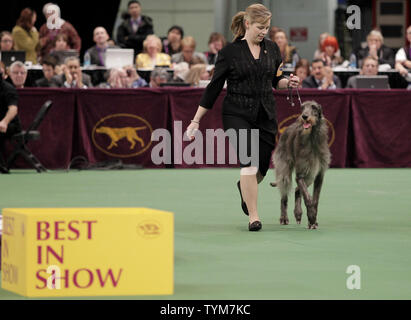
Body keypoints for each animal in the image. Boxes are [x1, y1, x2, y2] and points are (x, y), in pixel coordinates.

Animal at [274, 101, 332, 229]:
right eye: (302, 107)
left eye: (314, 107)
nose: (304, 116)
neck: (312, 138)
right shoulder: (300, 174)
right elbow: (308, 198)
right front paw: (311, 218)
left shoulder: (319, 175)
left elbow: (315, 199)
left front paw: (313, 220)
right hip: (284, 167)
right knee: (284, 194)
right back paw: (284, 218)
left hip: (310, 176)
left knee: (297, 190)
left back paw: (298, 214)